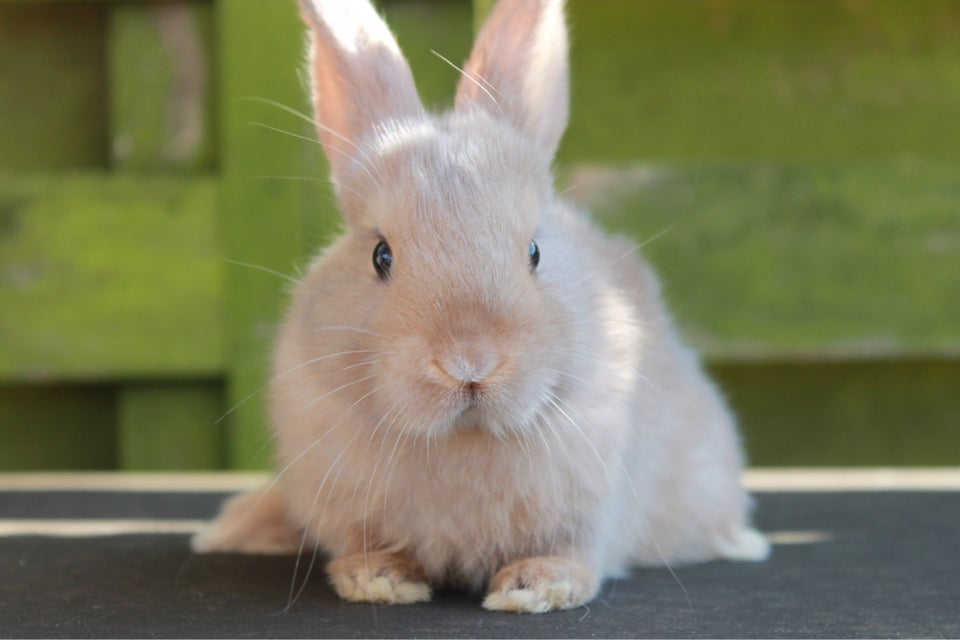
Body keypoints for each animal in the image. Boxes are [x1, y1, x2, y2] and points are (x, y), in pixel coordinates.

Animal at [191, 0, 768, 612]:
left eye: (535, 252)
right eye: (380, 255)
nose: (468, 363)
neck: (462, 439)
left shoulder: (594, 507)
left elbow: (575, 553)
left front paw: (535, 588)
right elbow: (368, 545)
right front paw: (380, 580)